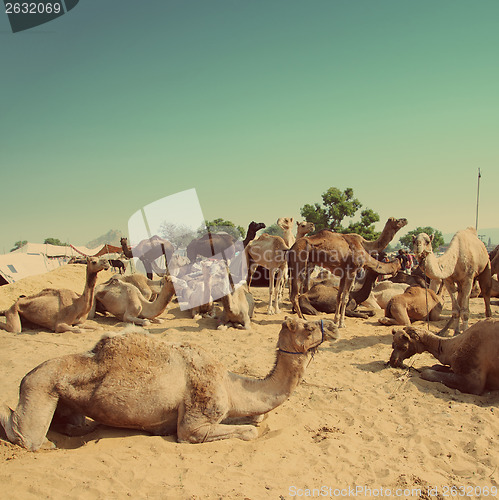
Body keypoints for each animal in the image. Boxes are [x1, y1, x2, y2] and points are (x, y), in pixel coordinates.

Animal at [0, 318, 340, 452]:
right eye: (306, 326)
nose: (334, 326)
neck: (230, 384)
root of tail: (27, 375)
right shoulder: (195, 423)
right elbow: (248, 431)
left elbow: (255, 419)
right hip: (39, 387)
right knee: (22, 434)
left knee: (78, 425)